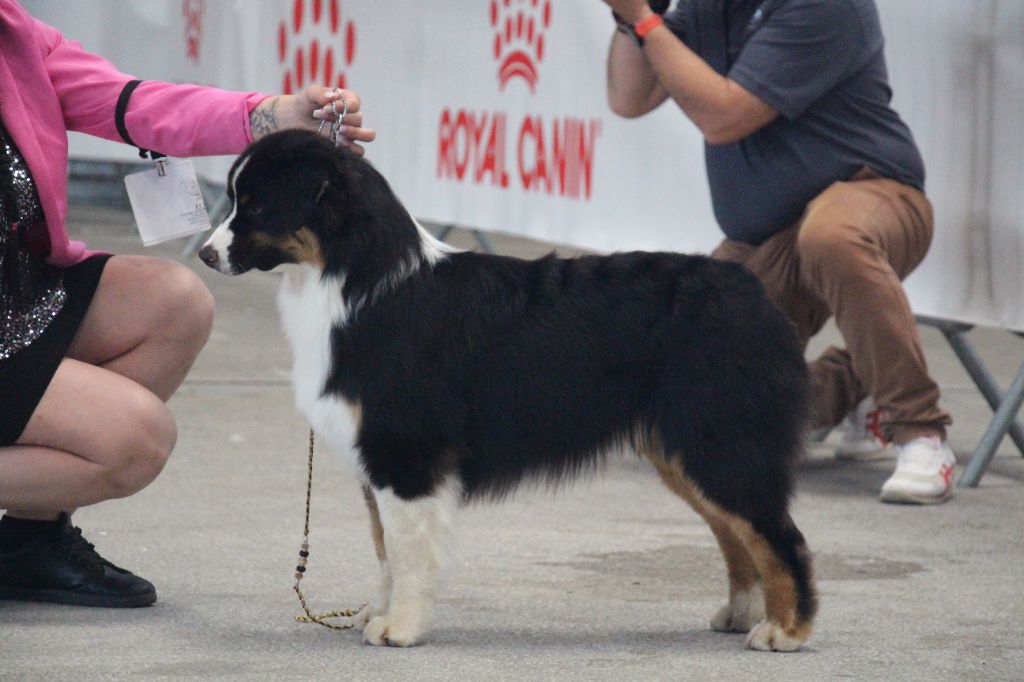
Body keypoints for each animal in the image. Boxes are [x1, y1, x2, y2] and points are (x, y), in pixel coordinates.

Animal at [199, 130, 815, 651]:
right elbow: (384, 549)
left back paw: (784, 630)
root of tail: (752, 290)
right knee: (737, 534)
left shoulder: (405, 453)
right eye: (233, 197)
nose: (205, 253)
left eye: (255, 204)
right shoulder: (377, 462)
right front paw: (378, 613)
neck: (354, 284)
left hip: (720, 441)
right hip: (687, 450)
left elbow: (407, 551)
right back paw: (739, 613)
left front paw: (399, 628)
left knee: (778, 536)